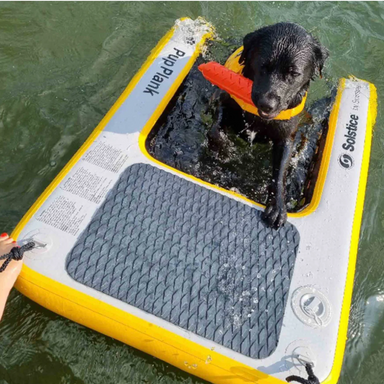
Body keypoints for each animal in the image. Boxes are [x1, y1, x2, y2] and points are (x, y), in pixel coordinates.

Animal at [210, 22, 328, 228]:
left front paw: (277, 206)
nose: (267, 104)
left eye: (293, 73)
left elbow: (280, 173)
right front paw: (223, 149)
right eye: (263, 66)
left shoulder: (286, 138)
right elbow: (216, 131)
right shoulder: (223, 101)